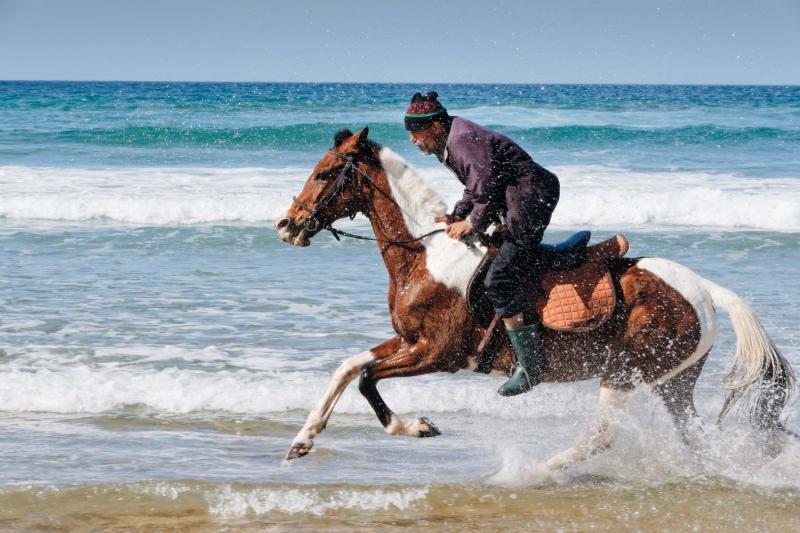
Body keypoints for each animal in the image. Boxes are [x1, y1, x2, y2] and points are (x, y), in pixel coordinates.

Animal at [274, 127, 792, 468]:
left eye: (324, 174)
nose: (286, 225)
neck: (428, 255)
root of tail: (704, 289)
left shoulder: (438, 352)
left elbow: (367, 380)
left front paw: (416, 427)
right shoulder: (408, 340)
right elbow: (349, 367)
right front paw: (302, 439)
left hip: (626, 371)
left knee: (600, 436)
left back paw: (534, 473)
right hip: (673, 382)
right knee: (694, 438)